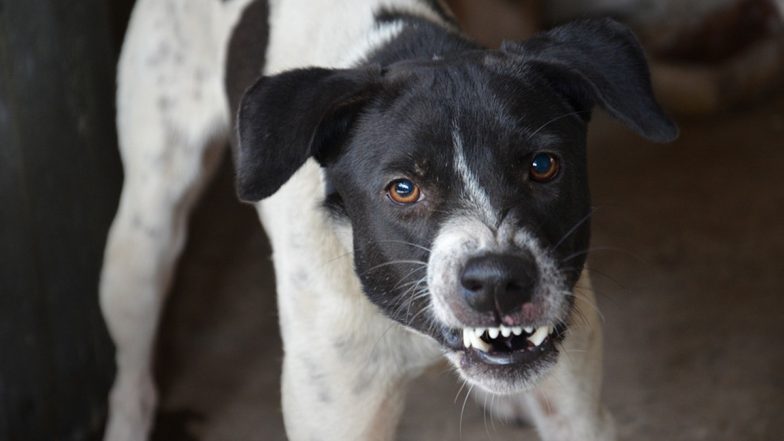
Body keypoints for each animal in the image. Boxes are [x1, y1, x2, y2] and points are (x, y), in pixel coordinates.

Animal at [99, 0, 672, 440]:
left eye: (542, 165)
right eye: (403, 189)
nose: (497, 282)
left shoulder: (577, 412)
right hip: (144, 236)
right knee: (131, 373)